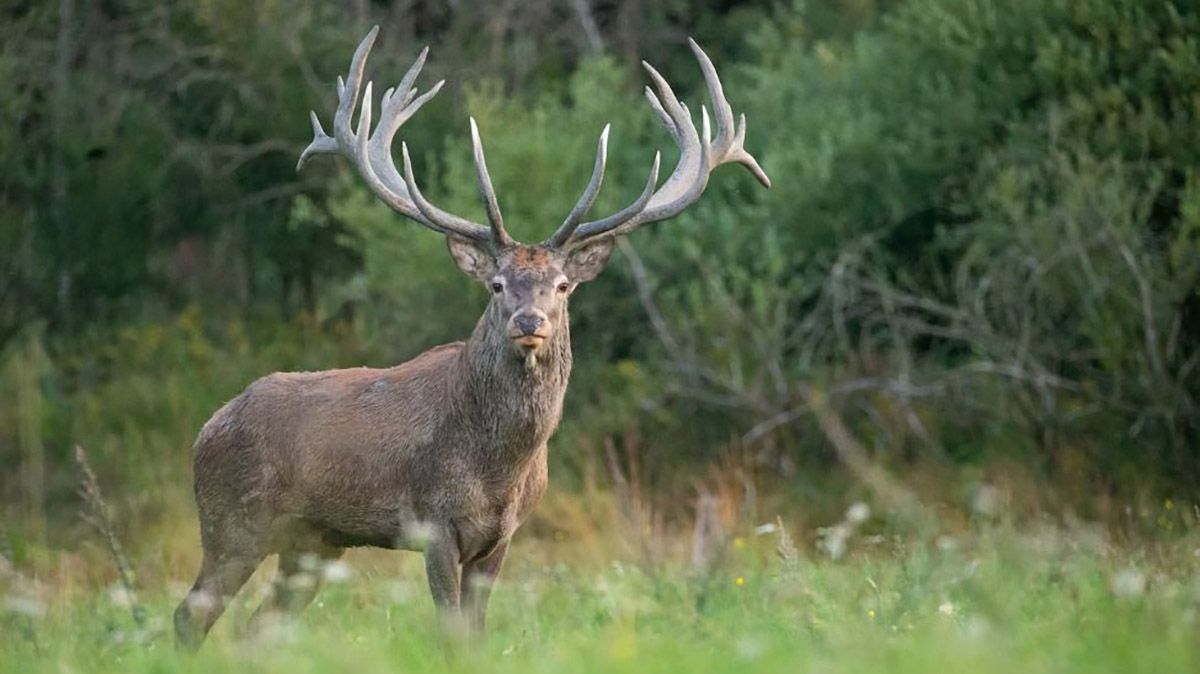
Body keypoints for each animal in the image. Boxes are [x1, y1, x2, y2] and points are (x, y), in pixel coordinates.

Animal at [171, 24, 768, 647]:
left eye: (561, 285)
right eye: (497, 283)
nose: (529, 322)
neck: (500, 469)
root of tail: (206, 430)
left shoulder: (502, 537)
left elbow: (477, 634)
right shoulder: (433, 524)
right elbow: (450, 633)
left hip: (313, 543)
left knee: (257, 628)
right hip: (233, 522)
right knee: (191, 613)